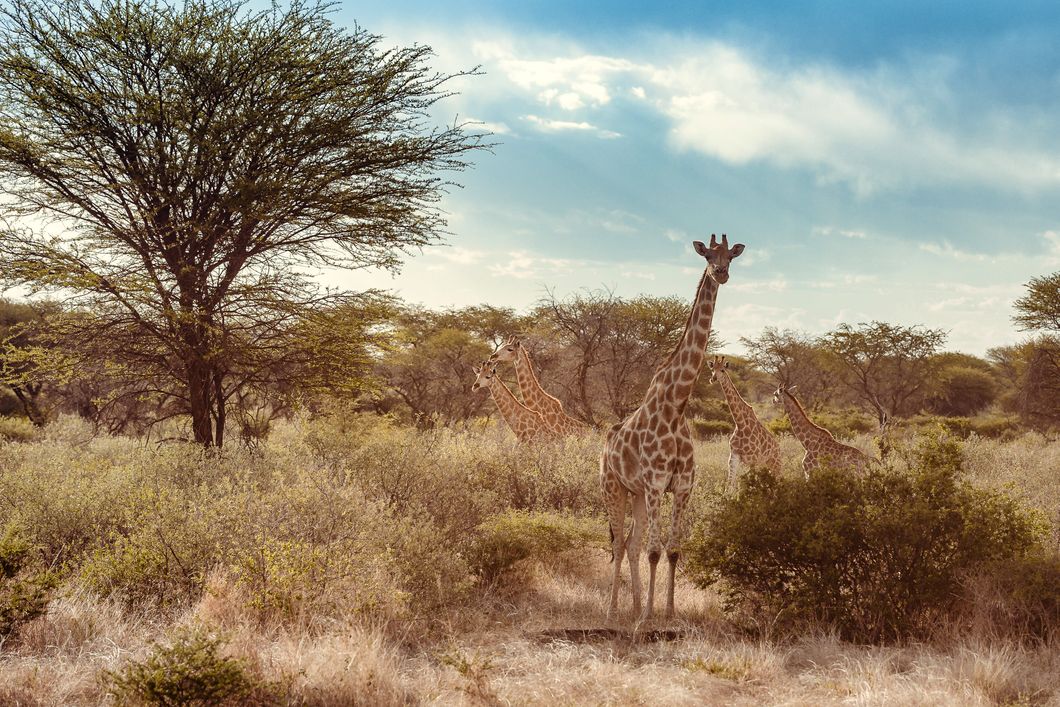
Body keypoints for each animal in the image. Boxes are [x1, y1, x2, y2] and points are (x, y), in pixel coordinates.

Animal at [601, 234, 744, 624]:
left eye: (731, 257)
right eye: (708, 255)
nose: (721, 273)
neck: (676, 404)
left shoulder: (681, 486)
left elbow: (673, 550)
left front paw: (667, 611)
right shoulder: (655, 484)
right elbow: (654, 550)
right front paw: (650, 617)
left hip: (635, 493)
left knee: (631, 543)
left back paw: (634, 604)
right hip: (613, 488)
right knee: (619, 542)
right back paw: (615, 610)